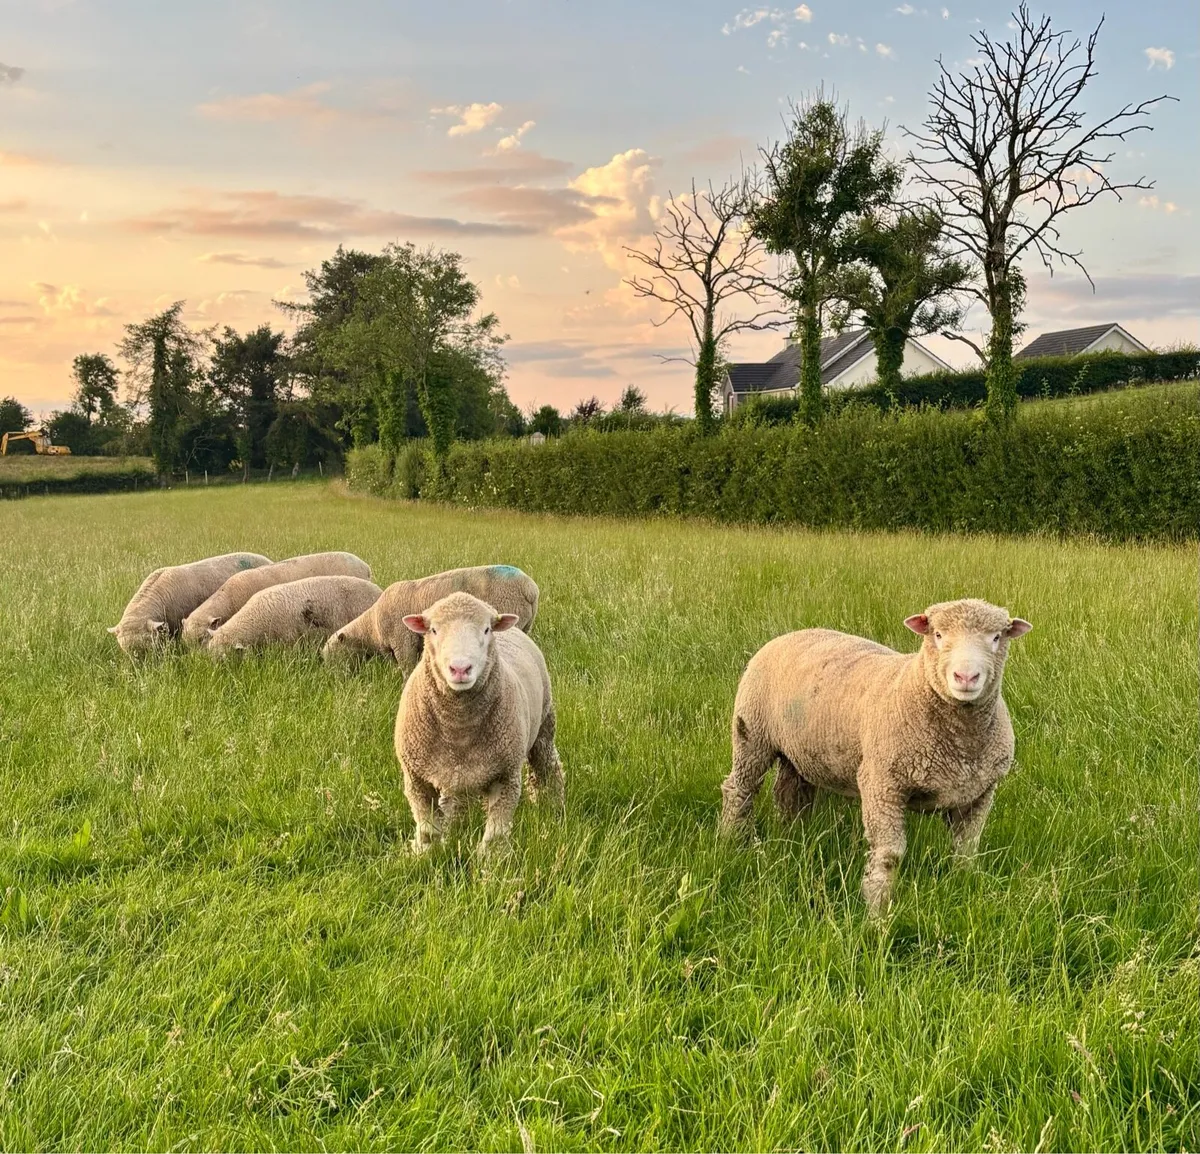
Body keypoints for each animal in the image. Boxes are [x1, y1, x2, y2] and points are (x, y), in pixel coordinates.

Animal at [323, 564, 539, 669]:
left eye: (333, 654)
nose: (331, 678)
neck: (372, 627)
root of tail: (530, 588)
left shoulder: (403, 641)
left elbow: (407, 668)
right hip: (525, 626)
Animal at [394, 591, 564, 856]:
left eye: (486, 629)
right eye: (433, 630)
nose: (460, 668)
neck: (458, 728)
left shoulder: (506, 775)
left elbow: (497, 830)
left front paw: (493, 860)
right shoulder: (416, 779)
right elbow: (427, 825)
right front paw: (425, 853)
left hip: (544, 727)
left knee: (548, 766)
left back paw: (553, 804)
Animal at [719, 598, 1032, 916]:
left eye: (996, 637)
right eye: (938, 635)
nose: (966, 677)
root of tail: (789, 634)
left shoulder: (981, 792)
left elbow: (966, 850)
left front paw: (964, 886)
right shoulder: (882, 784)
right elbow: (888, 855)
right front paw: (877, 911)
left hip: (799, 752)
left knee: (789, 793)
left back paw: (793, 834)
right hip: (752, 733)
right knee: (739, 788)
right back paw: (731, 840)